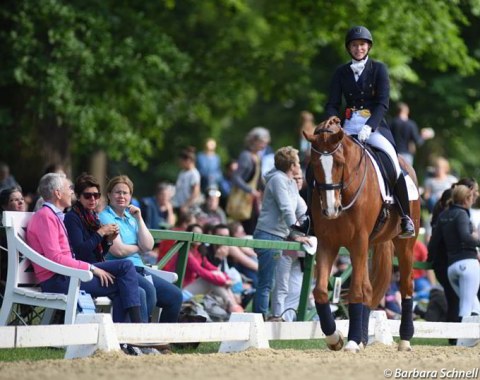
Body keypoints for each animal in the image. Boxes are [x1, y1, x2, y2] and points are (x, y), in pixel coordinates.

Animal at [304, 116, 420, 354]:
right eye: (315, 165)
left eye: (339, 163)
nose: (331, 210)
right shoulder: (327, 243)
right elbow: (320, 291)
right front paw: (336, 338)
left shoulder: (358, 241)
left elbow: (356, 292)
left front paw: (351, 342)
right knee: (369, 288)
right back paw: (363, 339)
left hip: (405, 246)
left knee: (406, 287)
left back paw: (404, 340)